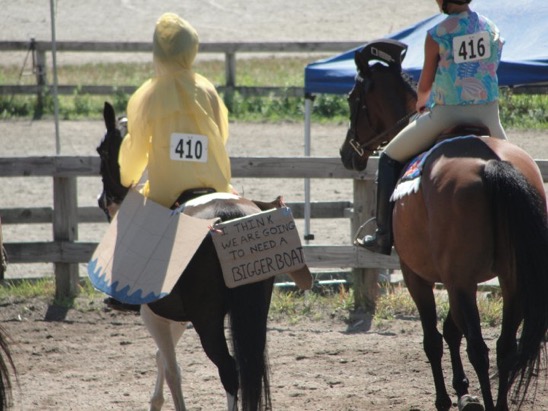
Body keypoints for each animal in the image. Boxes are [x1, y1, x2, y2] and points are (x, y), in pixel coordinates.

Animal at [97, 102, 274, 411]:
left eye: (103, 151)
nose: (102, 201)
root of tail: (231, 217)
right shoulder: (176, 317)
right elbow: (162, 360)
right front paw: (155, 401)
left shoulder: (152, 314)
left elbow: (172, 370)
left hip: (208, 322)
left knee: (229, 370)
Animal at [340, 41, 548, 411]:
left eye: (353, 98)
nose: (347, 154)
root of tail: (492, 164)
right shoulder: (457, 279)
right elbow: (453, 329)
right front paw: (463, 390)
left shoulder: (418, 275)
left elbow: (433, 338)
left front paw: (445, 397)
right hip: (509, 277)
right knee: (504, 347)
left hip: (461, 280)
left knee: (479, 348)